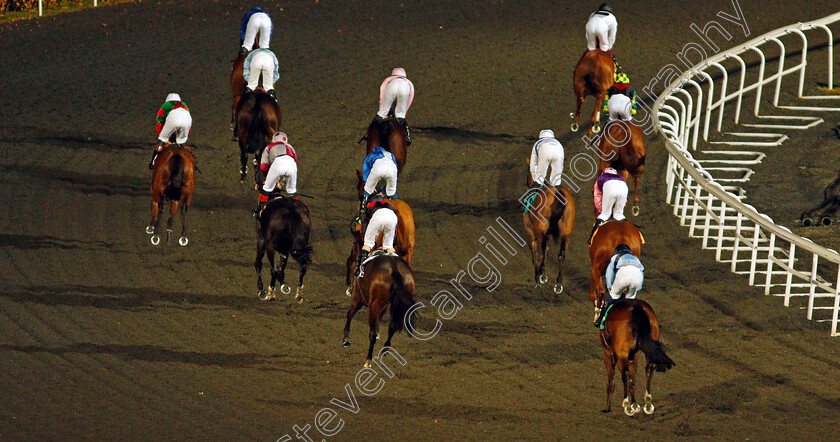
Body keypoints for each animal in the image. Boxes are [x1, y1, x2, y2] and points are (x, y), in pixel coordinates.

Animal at [520, 159, 576, 294]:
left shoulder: (530, 233)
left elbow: (535, 254)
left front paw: (538, 278)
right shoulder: (550, 234)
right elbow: (545, 252)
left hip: (540, 231)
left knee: (543, 247)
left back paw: (543, 275)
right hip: (565, 234)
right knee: (561, 254)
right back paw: (558, 283)